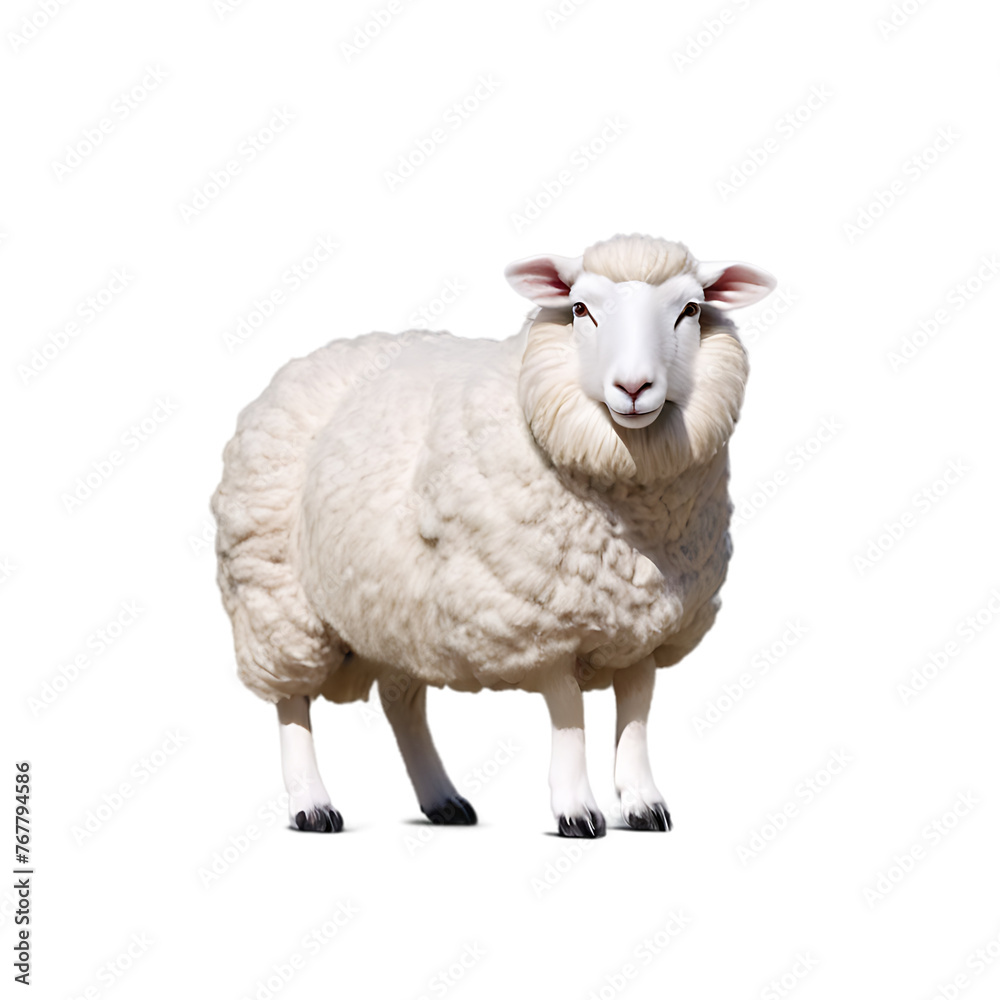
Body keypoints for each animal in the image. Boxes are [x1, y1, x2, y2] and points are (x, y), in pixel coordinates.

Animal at [211, 233, 775, 837]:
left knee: (400, 700)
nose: (633, 387)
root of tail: (307, 362)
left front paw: (643, 802)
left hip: (394, 610)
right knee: (292, 701)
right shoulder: (541, 625)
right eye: (580, 308)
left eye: (690, 309)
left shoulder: (643, 623)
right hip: (276, 597)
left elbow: (637, 712)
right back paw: (312, 804)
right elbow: (569, 712)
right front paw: (577, 810)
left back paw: (442, 799)